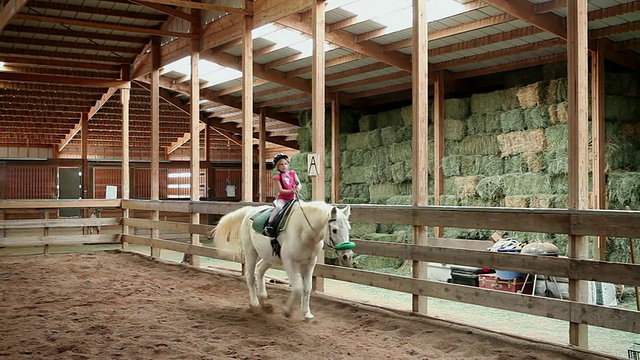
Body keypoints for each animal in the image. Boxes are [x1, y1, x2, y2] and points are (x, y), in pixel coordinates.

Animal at [214, 200, 356, 320]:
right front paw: (287, 311)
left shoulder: (310, 263)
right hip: (251, 252)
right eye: (334, 230)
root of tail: (250, 211)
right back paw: (255, 304)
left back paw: (264, 301)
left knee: (259, 270)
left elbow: (307, 288)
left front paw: (307, 313)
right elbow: (297, 287)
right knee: (250, 276)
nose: (347, 256)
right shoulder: (289, 262)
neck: (304, 231)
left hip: (269, 257)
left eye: (349, 229)